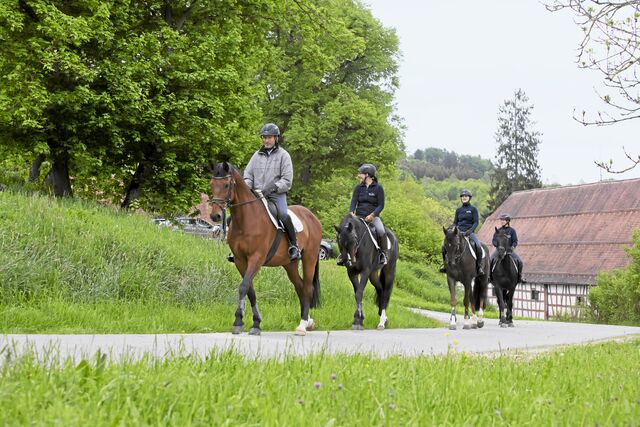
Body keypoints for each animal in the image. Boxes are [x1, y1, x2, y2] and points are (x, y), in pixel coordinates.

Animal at [209, 162, 322, 336]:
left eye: (226, 185)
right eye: (211, 184)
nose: (215, 216)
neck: (246, 219)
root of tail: (312, 217)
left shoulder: (256, 258)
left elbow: (243, 287)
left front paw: (238, 322)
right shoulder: (240, 260)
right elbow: (250, 290)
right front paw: (255, 322)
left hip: (309, 258)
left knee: (308, 288)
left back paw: (302, 325)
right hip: (289, 264)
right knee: (300, 287)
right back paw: (308, 321)